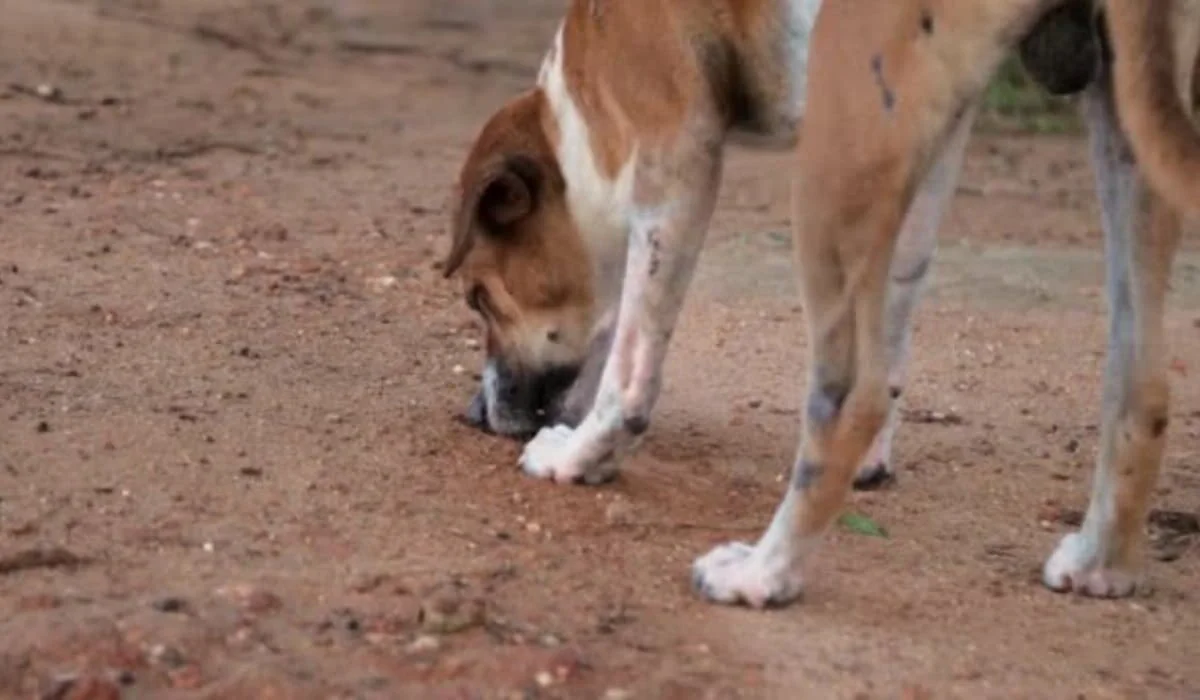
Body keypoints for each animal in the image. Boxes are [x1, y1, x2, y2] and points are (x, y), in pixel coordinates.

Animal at [441, 0, 1200, 607]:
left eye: (480, 297)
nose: (476, 415)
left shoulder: (677, 152)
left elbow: (631, 364)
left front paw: (582, 457)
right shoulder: (935, 146)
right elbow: (898, 316)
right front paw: (875, 462)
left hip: (830, 160)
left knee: (848, 395)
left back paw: (764, 574)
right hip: (1126, 121)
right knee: (1140, 379)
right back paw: (1104, 564)